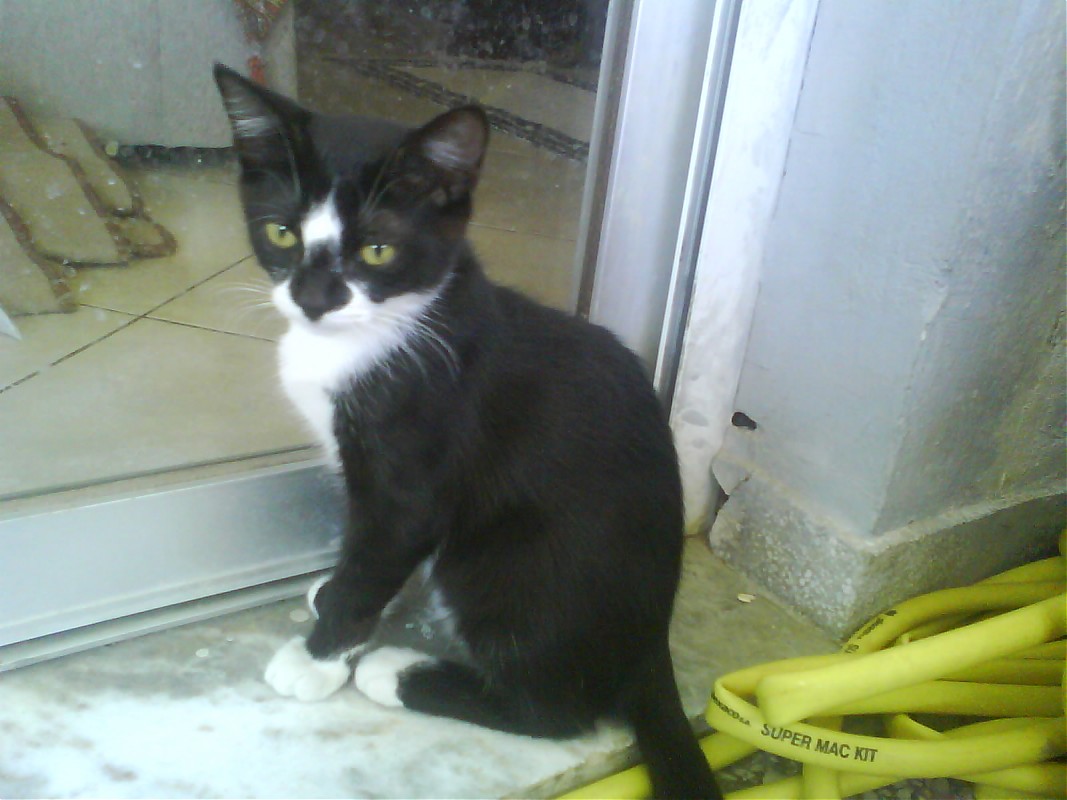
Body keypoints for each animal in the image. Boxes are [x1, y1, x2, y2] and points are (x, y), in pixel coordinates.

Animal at [214, 63, 721, 800]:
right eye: (281, 234)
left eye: (377, 248)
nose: (312, 299)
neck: (388, 328)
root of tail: (652, 641)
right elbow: (364, 553)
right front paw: (333, 598)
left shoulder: (413, 473)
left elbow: (378, 553)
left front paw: (321, 657)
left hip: (513, 561)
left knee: (558, 710)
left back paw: (400, 673)